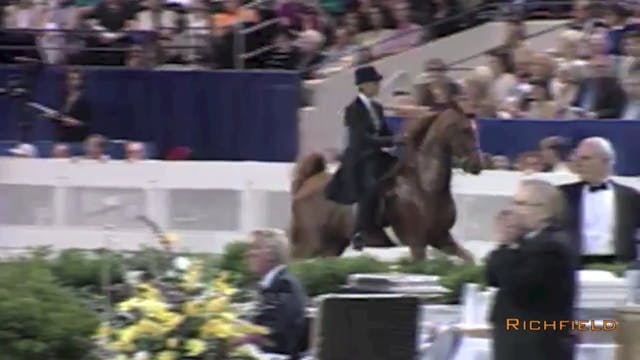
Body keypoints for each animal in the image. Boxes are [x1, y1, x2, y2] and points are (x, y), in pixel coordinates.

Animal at [288, 104, 480, 262]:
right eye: (465, 130)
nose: (477, 164)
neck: (425, 187)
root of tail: (308, 181)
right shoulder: (416, 242)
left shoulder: (441, 238)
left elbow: (468, 258)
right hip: (310, 243)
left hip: (332, 246)